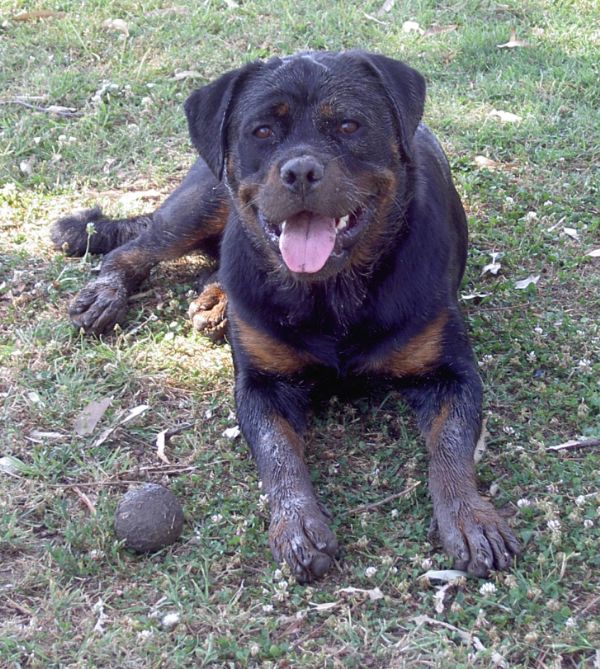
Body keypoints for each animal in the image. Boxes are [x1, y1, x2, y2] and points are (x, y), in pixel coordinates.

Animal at [51, 51, 520, 580]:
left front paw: (468, 516)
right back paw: (107, 294)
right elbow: (278, 453)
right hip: (202, 201)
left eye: (348, 125)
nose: (300, 171)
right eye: (261, 131)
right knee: (136, 246)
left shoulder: (451, 375)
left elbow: (452, 445)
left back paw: (215, 303)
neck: (332, 296)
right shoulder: (262, 386)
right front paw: (296, 522)